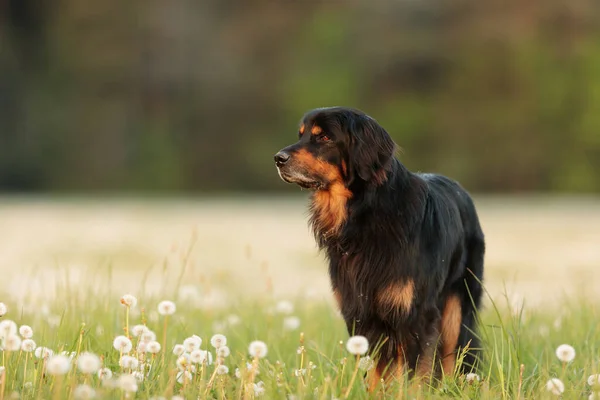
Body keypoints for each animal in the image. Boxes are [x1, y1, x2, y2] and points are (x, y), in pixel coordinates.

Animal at [274, 107, 486, 390]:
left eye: (324, 138)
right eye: (302, 135)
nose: (278, 158)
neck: (365, 215)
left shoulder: (417, 313)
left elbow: (417, 375)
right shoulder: (361, 312)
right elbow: (376, 372)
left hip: (457, 307)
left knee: (454, 355)